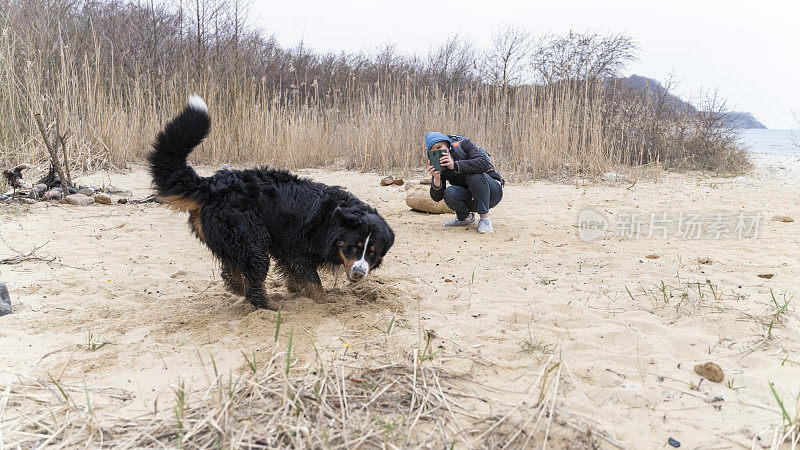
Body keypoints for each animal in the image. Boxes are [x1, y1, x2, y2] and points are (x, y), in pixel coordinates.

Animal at [148, 96, 396, 312]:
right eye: (353, 246)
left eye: (372, 252)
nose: (359, 273)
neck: (331, 220)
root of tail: (212, 184)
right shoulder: (299, 250)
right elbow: (312, 279)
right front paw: (324, 300)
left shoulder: (287, 249)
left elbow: (294, 276)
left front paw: (297, 290)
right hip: (252, 242)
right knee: (254, 283)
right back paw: (270, 306)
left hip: (237, 242)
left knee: (231, 273)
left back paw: (240, 290)